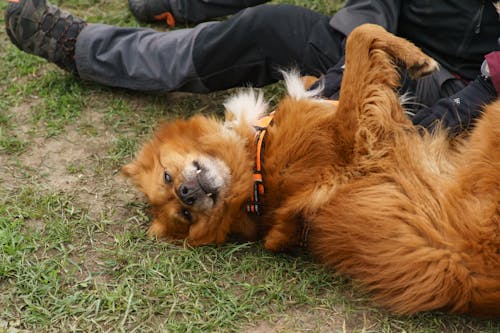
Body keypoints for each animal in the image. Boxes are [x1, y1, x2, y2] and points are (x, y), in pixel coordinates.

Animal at [122, 24, 500, 316]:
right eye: (185, 215)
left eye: (168, 179)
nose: (186, 194)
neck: (257, 171)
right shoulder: (354, 135)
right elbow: (360, 35)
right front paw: (417, 58)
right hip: (491, 118)